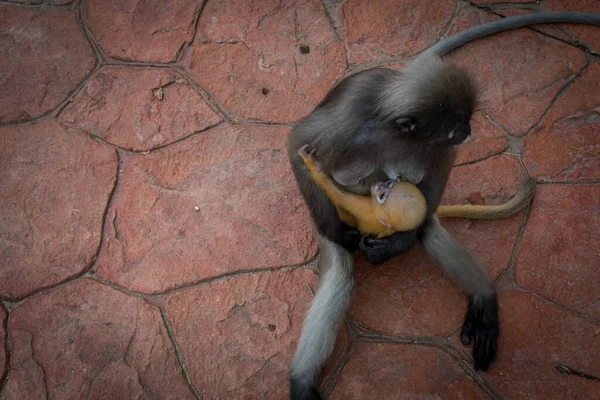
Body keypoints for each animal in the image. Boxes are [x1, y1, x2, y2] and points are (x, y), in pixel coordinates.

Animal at [288, 10, 600, 398]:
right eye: (457, 126)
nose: (468, 133)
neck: (394, 129)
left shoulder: (430, 153)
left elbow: (432, 188)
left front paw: (397, 244)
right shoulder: (350, 116)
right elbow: (297, 144)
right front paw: (336, 226)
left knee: (428, 231)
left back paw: (483, 297)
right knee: (343, 266)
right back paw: (302, 381)